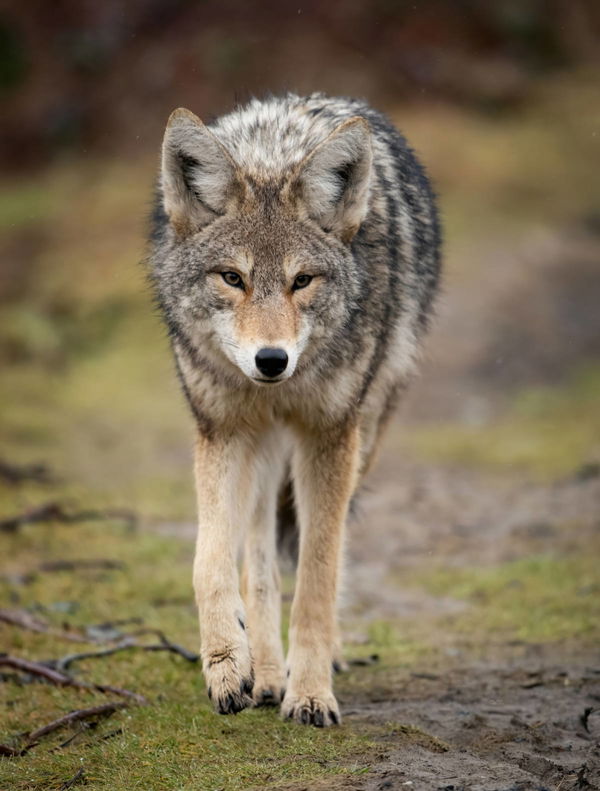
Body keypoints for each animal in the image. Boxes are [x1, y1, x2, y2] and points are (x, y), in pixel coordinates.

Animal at [148, 93, 441, 727]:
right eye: (232, 278)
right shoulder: (222, 429)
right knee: (257, 555)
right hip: (263, 450)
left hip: (363, 435)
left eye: (302, 280)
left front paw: (310, 693)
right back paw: (262, 672)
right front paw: (227, 664)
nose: (271, 360)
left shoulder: (329, 436)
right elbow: (210, 562)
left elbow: (318, 575)